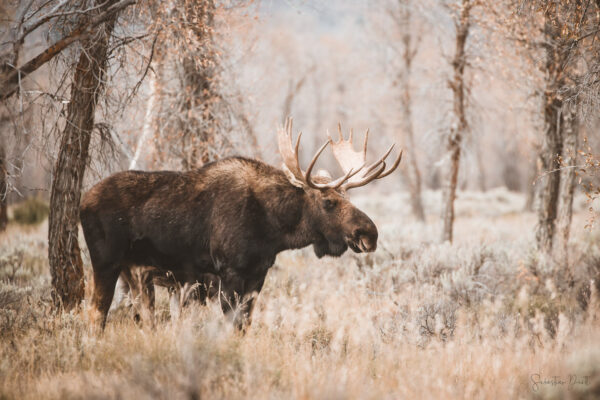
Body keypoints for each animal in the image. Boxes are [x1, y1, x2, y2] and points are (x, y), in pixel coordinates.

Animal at [78, 119, 398, 332]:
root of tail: (82, 201)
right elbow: (233, 325)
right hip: (106, 263)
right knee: (96, 313)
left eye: (348, 196)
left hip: (133, 273)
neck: (273, 228)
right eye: (329, 201)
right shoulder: (228, 272)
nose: (369, 233)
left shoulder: (257, 274)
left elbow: (245, 324)